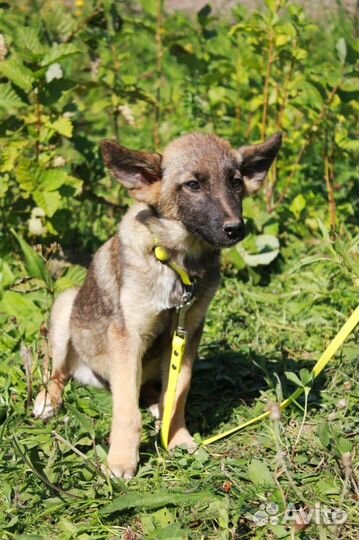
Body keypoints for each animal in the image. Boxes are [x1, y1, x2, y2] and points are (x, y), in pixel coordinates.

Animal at [33, 131, 282, 476]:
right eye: (192, 185)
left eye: (235, 182)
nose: (236, 229)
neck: (177, 263)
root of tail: (88, 375)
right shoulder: (127, 337)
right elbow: (127, 411)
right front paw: (122, 460)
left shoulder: (187, 332)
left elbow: (178, 393)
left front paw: (176, 437)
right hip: (65, 307)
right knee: (56, 372)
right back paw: (48, 400)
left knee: (152, 389)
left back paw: (154, 404)